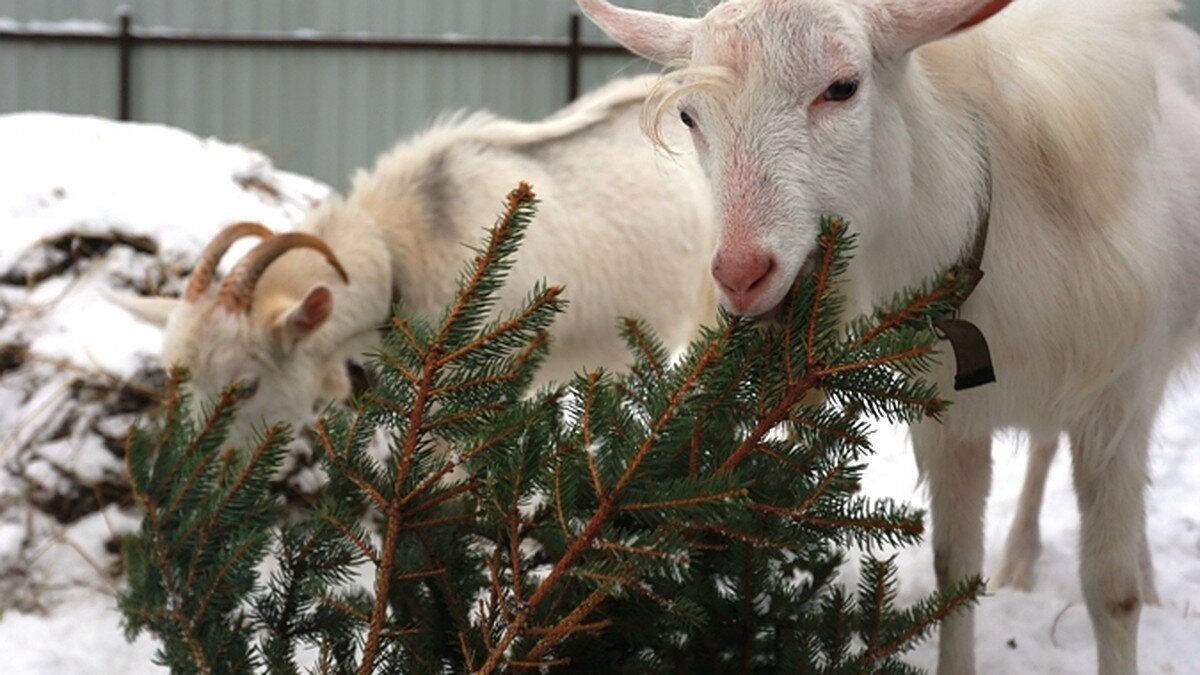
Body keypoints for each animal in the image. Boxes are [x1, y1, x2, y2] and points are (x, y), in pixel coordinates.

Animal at [580, 1, 1200, 672]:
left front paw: (1131, 590)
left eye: (843, 87)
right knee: (1042, 448)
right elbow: (955, 572)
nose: (742, 275)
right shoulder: (952, 421)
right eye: (690, 116)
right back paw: (1021, 559)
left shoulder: (1115, 399)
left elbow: (1112, 592)